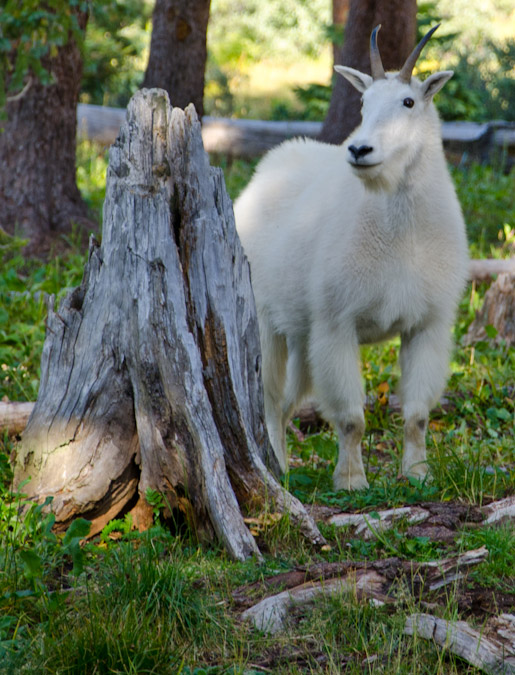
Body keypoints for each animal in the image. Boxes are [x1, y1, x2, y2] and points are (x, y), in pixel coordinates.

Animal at [236, 25, 470, 492]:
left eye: (409, 102)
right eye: (363, 103)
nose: (360, 150)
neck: (400, 233)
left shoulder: (427, 325)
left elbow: (417, 414)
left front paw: (417, 475)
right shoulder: (337, 324)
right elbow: (350, 419)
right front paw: (351, 481)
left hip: (302, 335)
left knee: (287, 404)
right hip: (267, 323)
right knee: (268, 400)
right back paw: (278, 469)